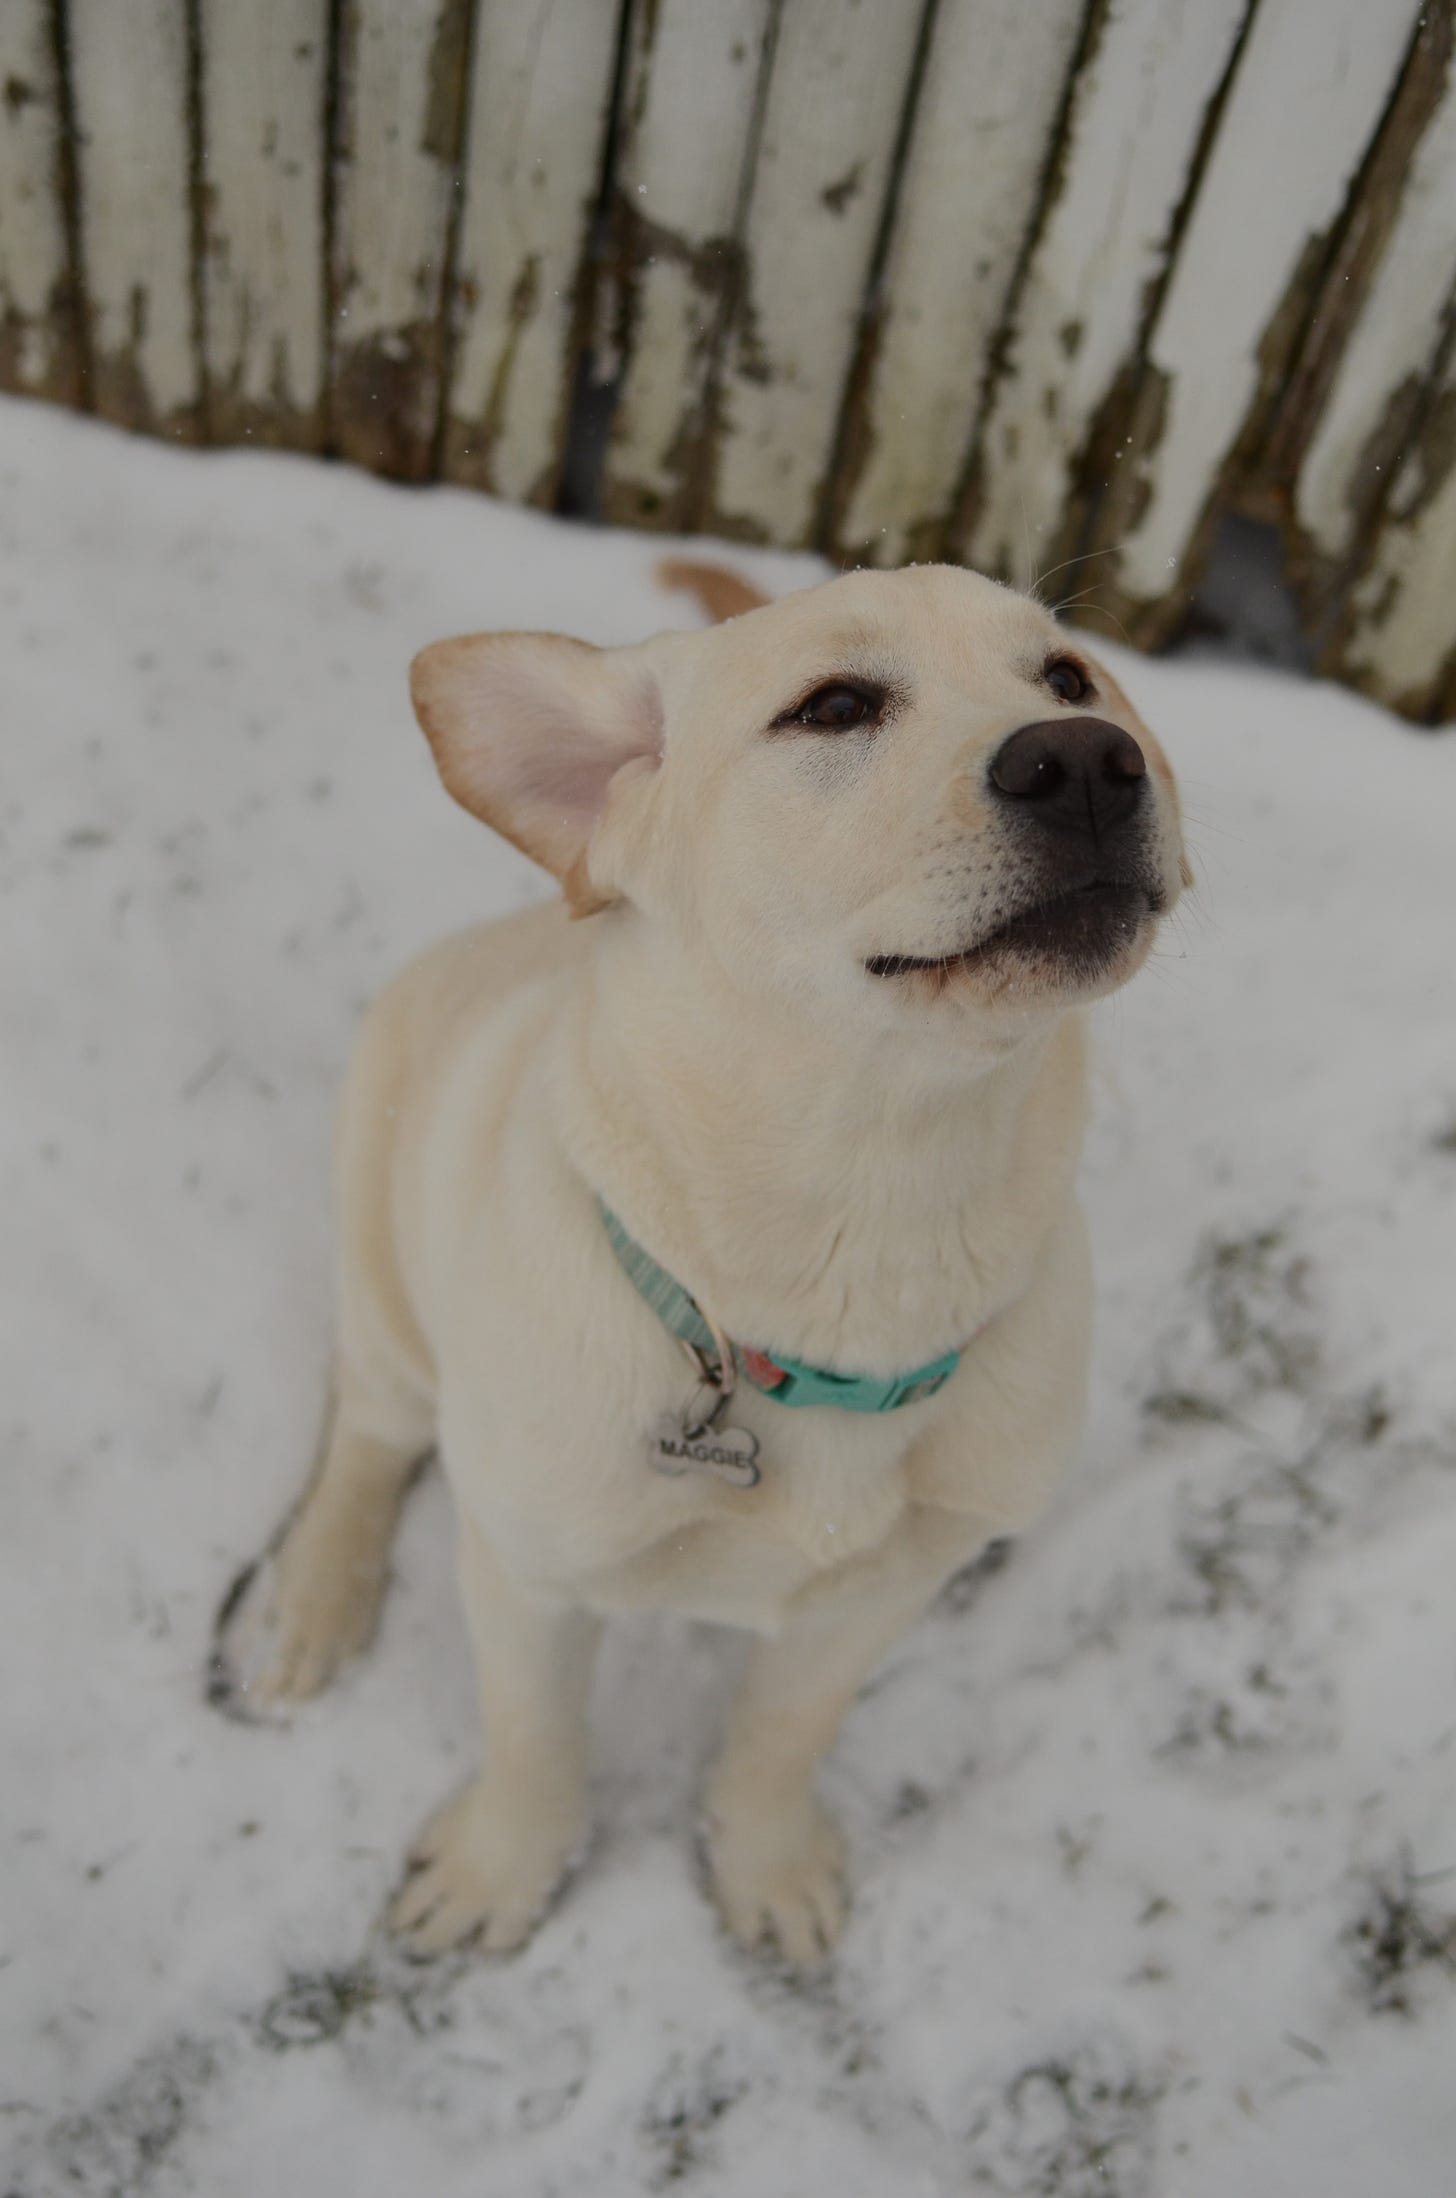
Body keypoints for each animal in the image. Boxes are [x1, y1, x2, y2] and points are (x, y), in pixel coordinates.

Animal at [241, 549, 1187, 1960]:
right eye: (834, 707)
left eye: (1067, 676)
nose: (1085, 759)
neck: (873, 1218)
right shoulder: (527, 1574)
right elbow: (533, 1738)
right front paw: (501, 1869)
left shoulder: (873, 1597)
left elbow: (783, 1734)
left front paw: (764, 1859)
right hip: (386, 1280)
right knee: (367, 1427)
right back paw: (314, 1598)